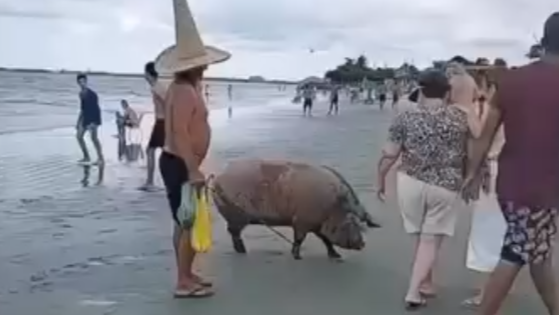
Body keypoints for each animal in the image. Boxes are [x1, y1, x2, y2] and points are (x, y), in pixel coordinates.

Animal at [211, 159, 380, 260]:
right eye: (350, 222)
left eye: (358, 223)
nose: (362, 244)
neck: (331, 207)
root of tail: (218, 177)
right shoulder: (301, 221)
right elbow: (299, 239)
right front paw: (297, 257)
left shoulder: (316, 224)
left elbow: (325, 240)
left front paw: (336, 256)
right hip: (236, 214)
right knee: (234, 233)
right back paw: (243, 251)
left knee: (232, 232)